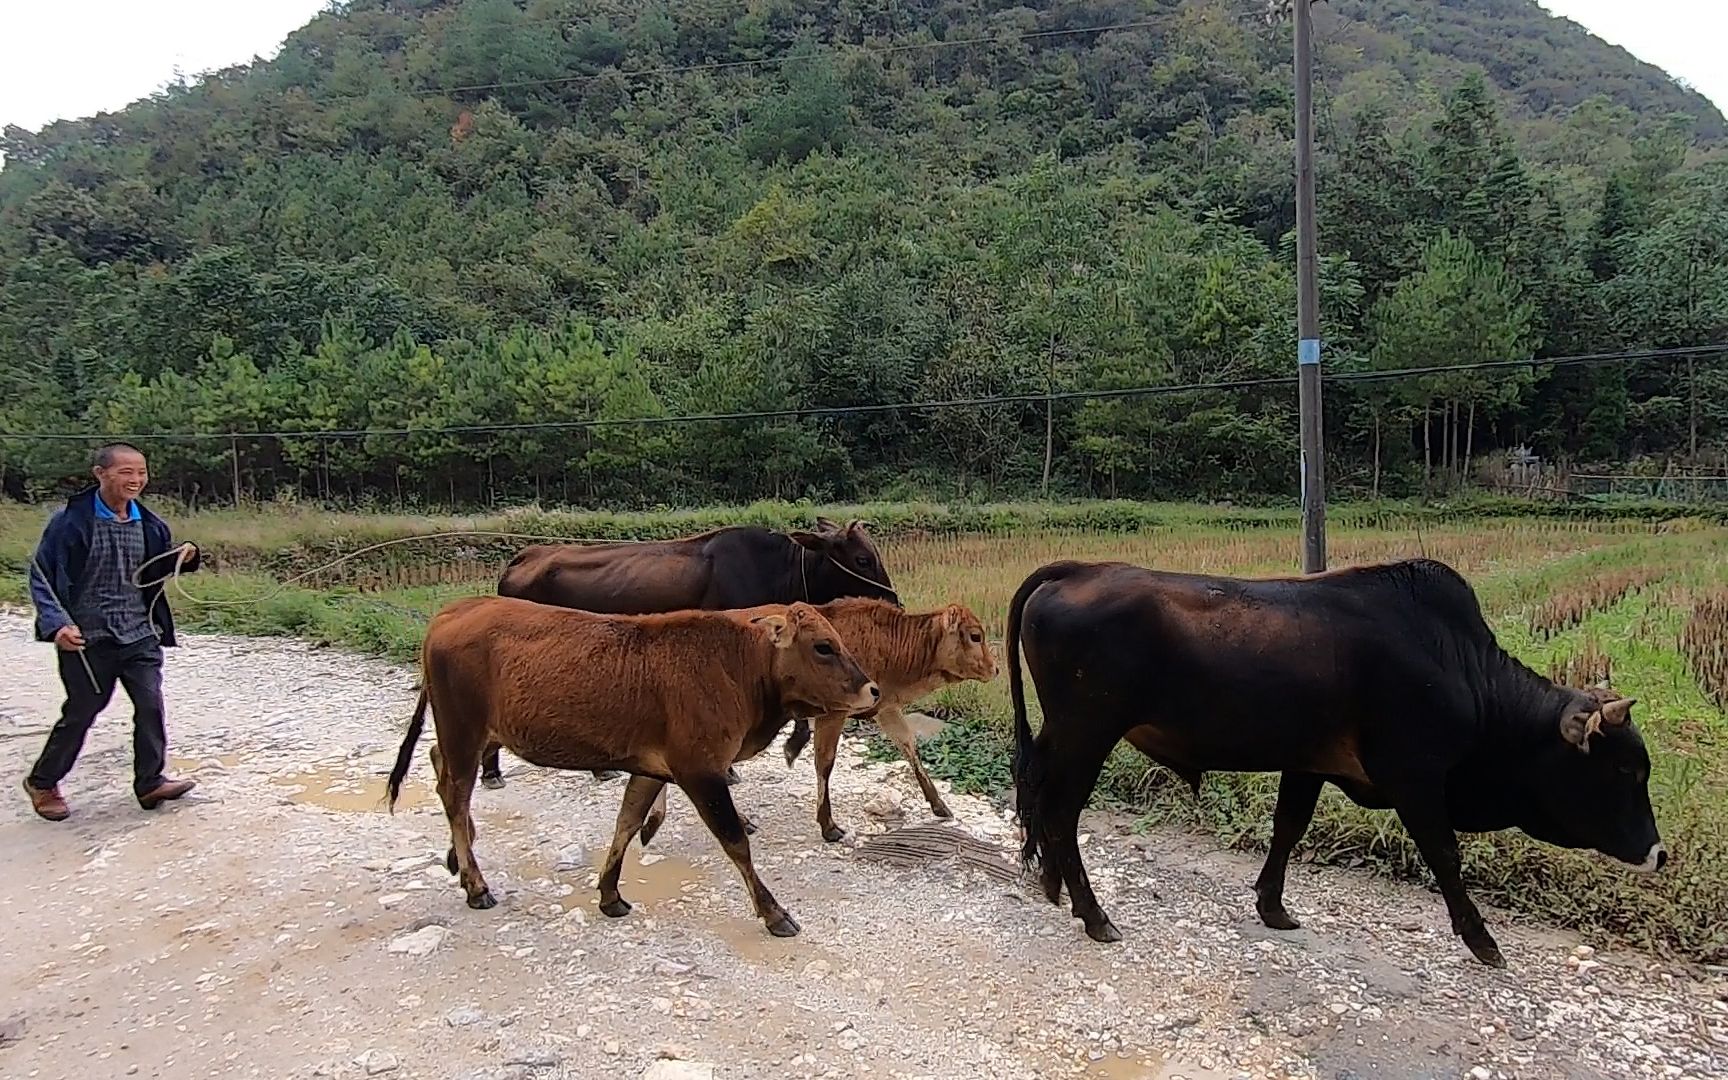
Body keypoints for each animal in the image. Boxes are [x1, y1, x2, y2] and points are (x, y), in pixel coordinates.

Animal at [388, 594, 877, 940]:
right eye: (824, 646)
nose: (871, 690)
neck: (737, 665)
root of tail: (451, 612)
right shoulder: (700, 771)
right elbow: (736, 841)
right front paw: (774, 912)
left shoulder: (650, 768)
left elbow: (626, 822)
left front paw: (610, 894)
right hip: (463, 730)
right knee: (454, 793)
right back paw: (475, 884)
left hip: (475, 735)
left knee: (440, 771)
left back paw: (458, 856)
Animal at [483, 518, 898, 787]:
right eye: (862, 559)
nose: (894, 603)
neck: (776, 569)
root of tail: (522, 556)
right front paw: (728, 769)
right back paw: (492, 774)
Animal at [639, 597, 1002, 843]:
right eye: (975, 636)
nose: (996, 669)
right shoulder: (834, 714)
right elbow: (824, 764)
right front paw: (828, 825)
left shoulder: (885, 708)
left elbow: (910, 748)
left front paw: (940, 805)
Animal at [1009, 559, 1665, 967]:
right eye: (1625, 770)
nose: (1658, 854)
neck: (1461, 670)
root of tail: (1080, 568)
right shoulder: (1415, 779)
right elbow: (1445, 856)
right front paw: (1482, 940)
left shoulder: (1308, 765)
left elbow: (1287, 830)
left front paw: (1272, 907)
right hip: (1088, 734)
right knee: (1061, 811)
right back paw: (1093, 914)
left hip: (1064, 735)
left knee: (1041, 797)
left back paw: (1053, 886)